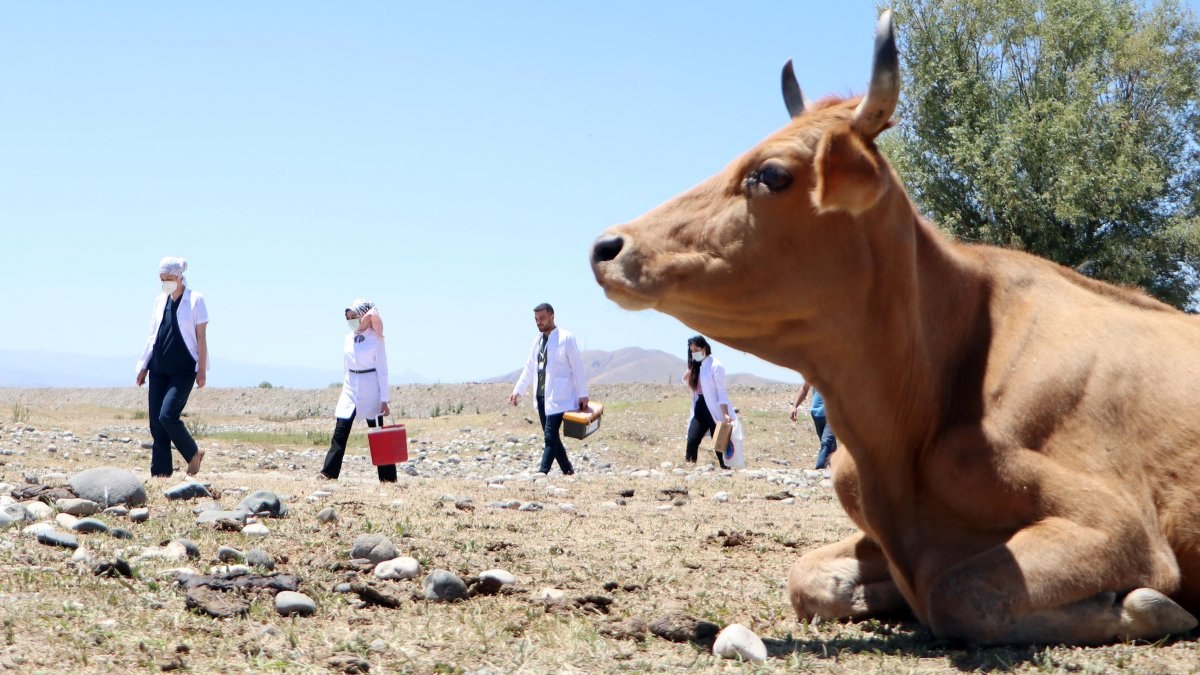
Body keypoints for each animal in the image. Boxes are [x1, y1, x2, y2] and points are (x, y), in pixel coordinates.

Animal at [590, 9, 1200, 638]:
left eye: (771, 174)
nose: (608, 246)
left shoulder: (1118, 523)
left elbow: (957, 591)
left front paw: (1140, 604)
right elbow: (808, 578)